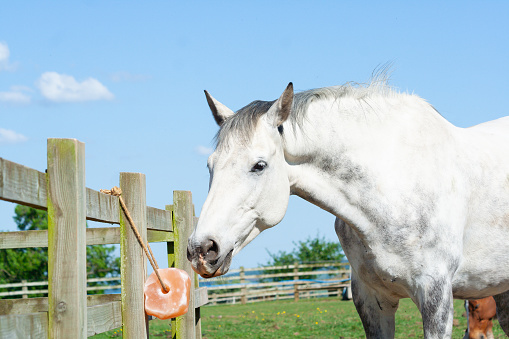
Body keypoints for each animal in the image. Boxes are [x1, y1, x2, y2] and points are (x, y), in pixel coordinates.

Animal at [187, 78, 508, 338]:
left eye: (259, 165)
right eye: (209, 165)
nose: (202, 249)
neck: (393, 183)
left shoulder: (436, 297)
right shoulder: (371, 300)